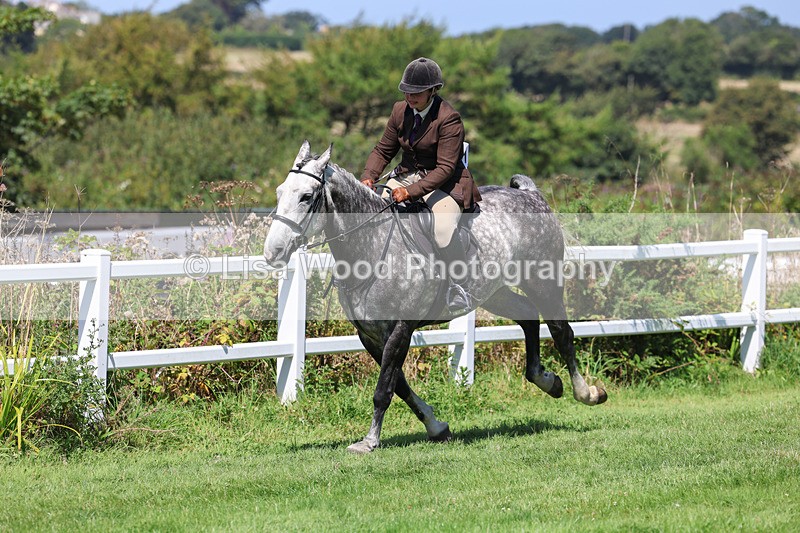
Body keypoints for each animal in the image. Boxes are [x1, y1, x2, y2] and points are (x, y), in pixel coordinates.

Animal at [263, 141, 607, 454]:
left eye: (307, 196)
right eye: (280, 193)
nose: (273, 252)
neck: (371, 246)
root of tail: (531, 195)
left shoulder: (400, 329)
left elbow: (384, 389)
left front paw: (369, 442)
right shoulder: (370, 334)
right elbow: (399, 384)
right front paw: (436, 426)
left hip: (542, 281)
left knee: (561, 331)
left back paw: (586, 393)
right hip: (493, 293)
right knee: (527, 316)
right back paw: (548, 381)